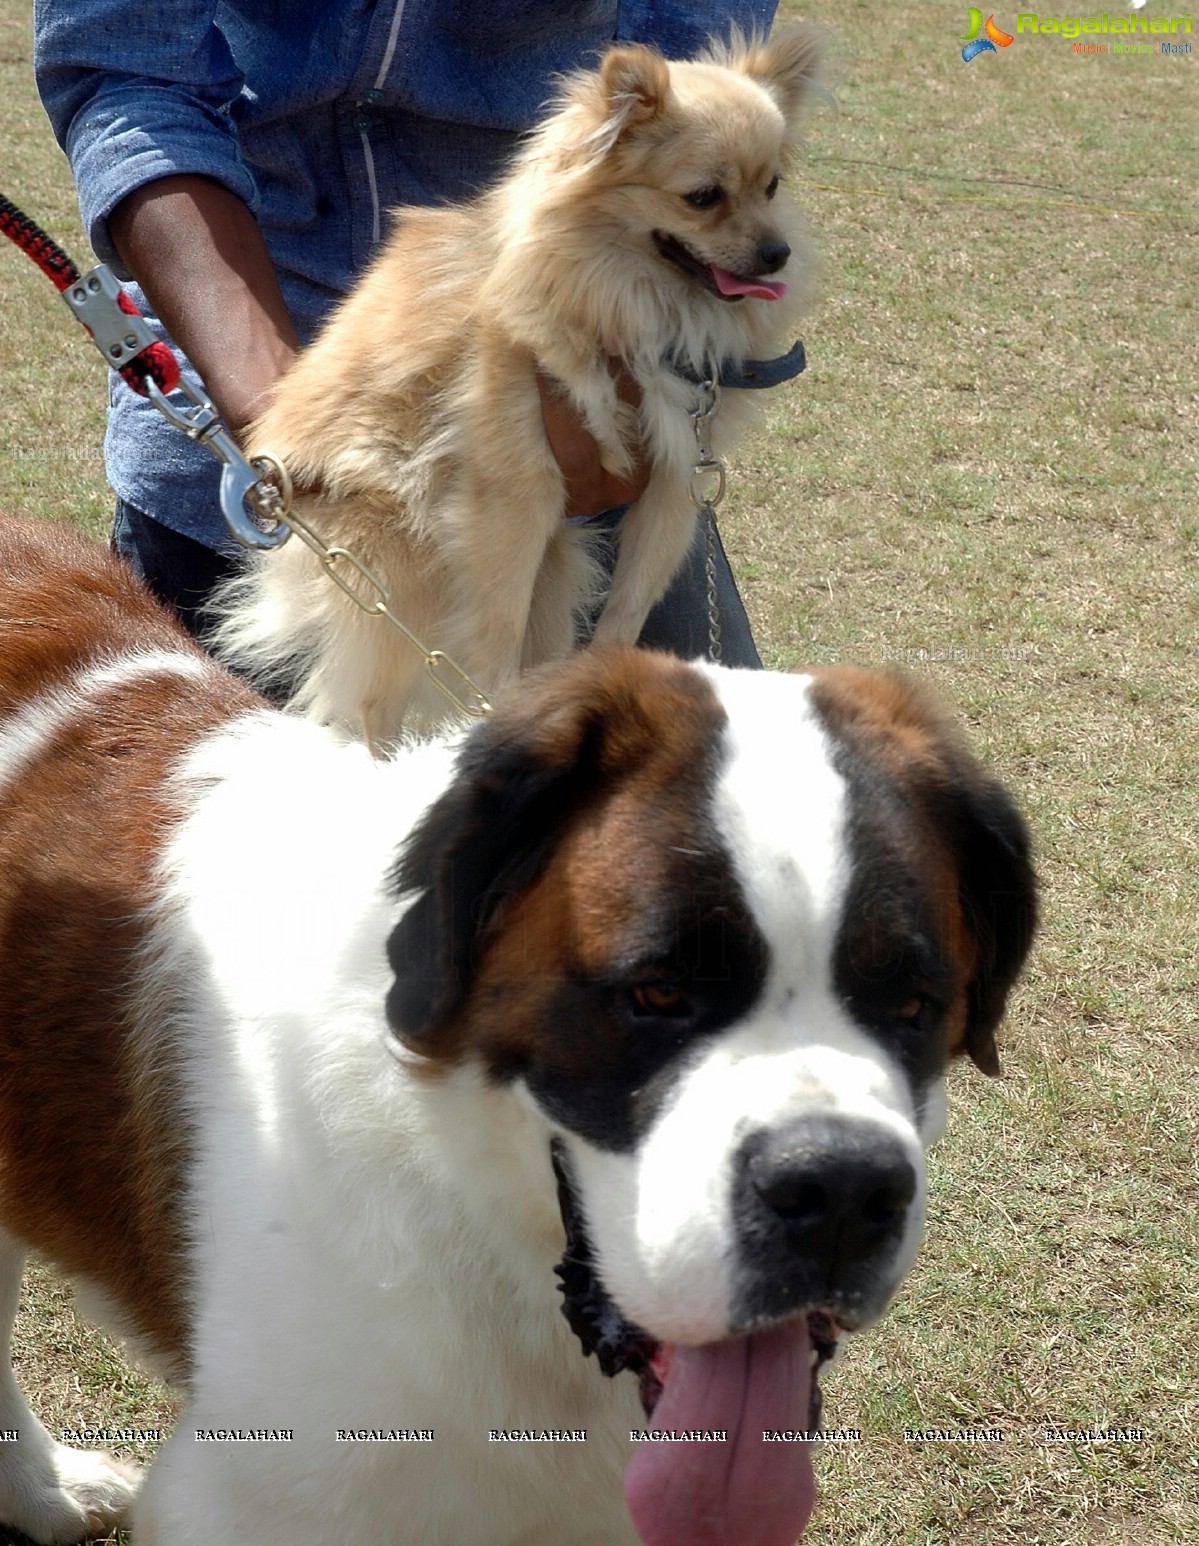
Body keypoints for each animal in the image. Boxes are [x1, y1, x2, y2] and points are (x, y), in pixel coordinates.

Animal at [214, 27, 821, 742]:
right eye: (704, 197)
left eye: (772, 187)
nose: (777, 254)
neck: (638, 306)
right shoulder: (516, 495)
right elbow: (496, 635)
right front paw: (493, 713)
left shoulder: (677, 480)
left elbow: (626, 612)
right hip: (399, 559)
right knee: (370, 705)